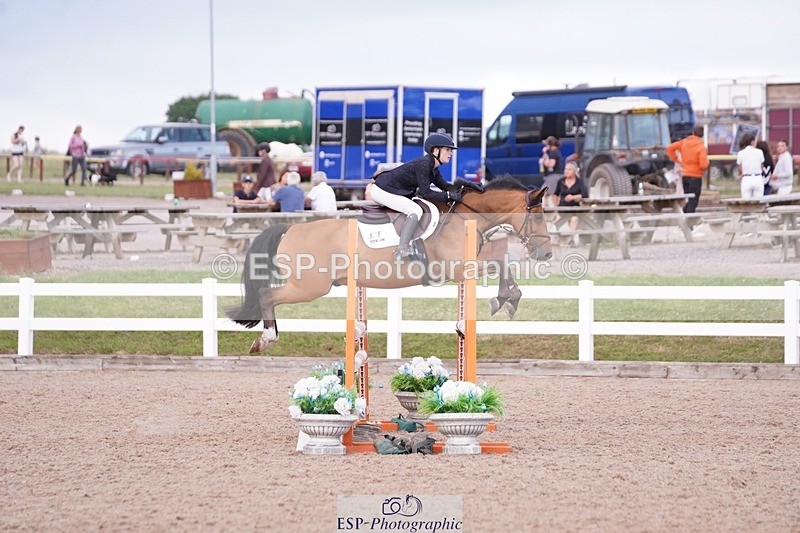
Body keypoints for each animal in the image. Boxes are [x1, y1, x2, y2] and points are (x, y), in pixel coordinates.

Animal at [227, 177, 552, 353]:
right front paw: (505, 300)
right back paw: (265, 339)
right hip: (309, 287)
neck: (465, 217)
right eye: (537, 216)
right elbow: (498, 263)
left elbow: (501, 263)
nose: (547, 254)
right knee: (268, 295)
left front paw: (508, 299)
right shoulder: (458, 268)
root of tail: (290, 229)